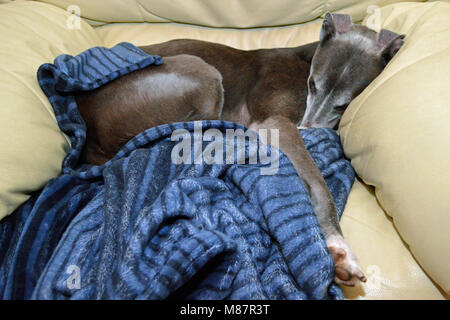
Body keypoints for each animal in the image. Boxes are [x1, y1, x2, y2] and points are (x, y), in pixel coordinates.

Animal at [76, 13, 404, 288]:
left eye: (344, 104)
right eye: (312, 84)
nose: (309, 128)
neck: (306, 60)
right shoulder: (274, 122)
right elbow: (318, 184)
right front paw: (339, 250)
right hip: (200, 71)